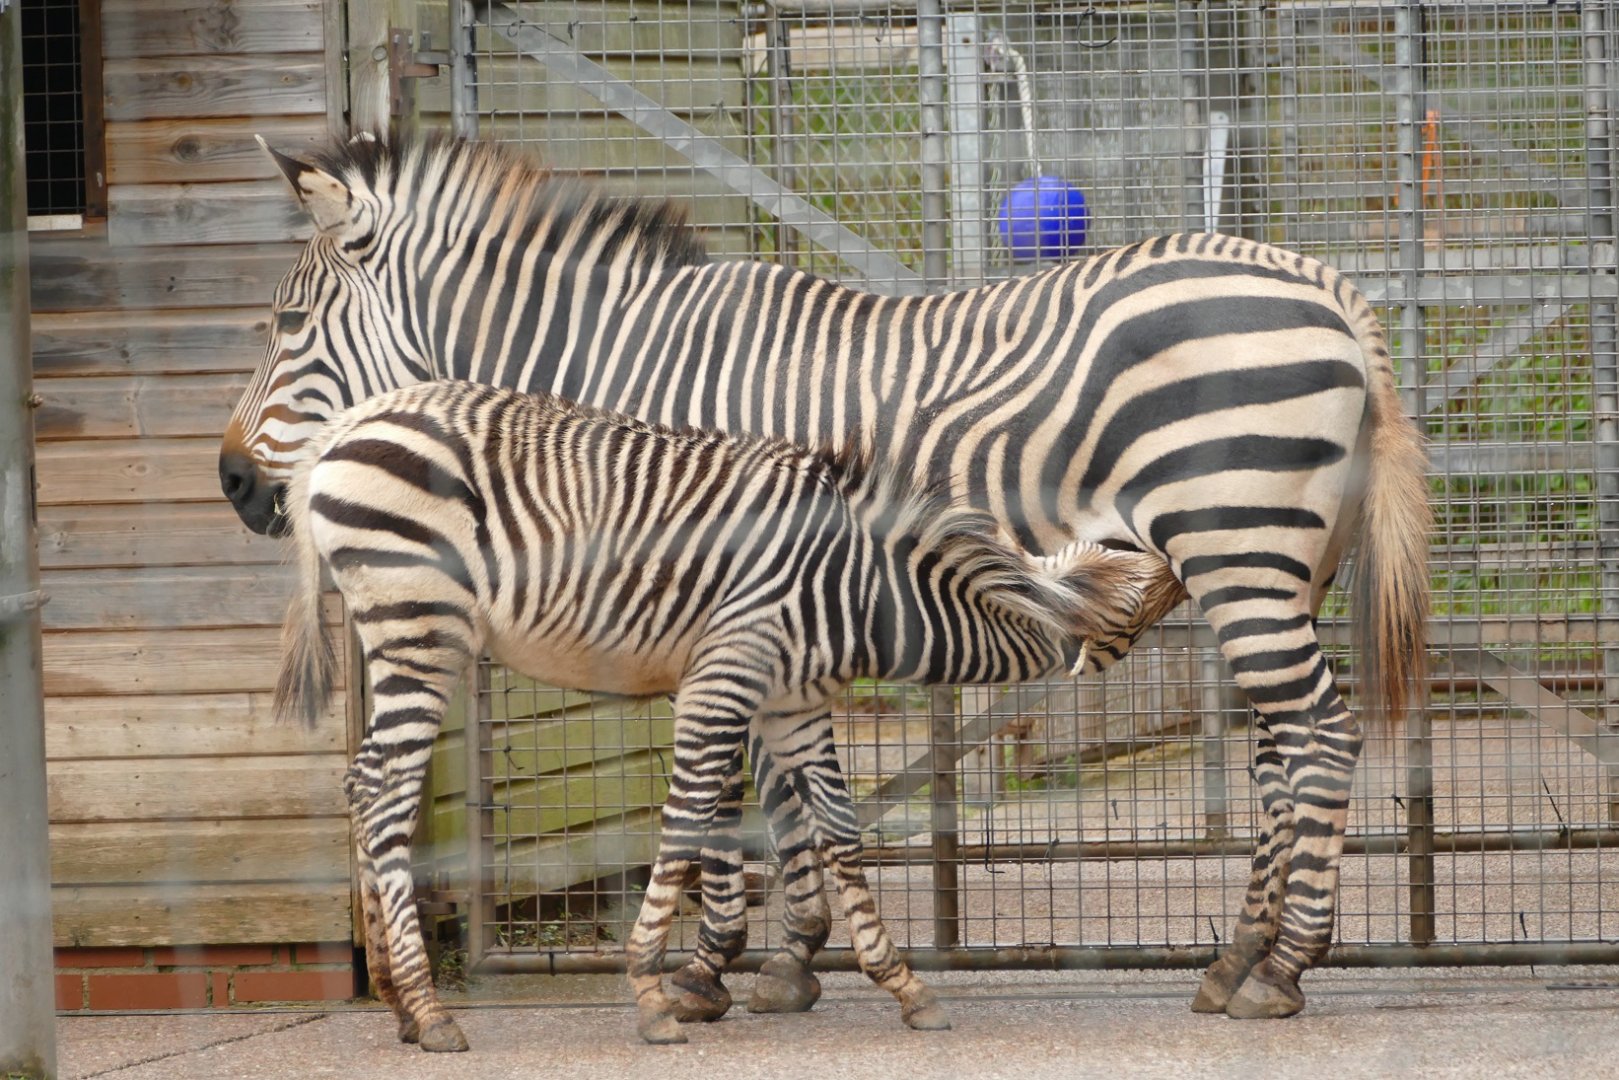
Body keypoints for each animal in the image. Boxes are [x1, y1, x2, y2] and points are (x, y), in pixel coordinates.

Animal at [276, 378, 1164, 1049]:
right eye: (1154, 575)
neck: (864, 587)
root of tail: (347, 423)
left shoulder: (792, 705)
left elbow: (839, 837)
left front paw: (903, 985)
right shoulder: (724, 677)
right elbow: (684, 827)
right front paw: (651, 992)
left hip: (400, 633)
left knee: (364, 787)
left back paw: (397, 1001)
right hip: (421, 626)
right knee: (384, 793)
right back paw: (428, 1011)